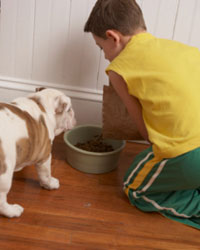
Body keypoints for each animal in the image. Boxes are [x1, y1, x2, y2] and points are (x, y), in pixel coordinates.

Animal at [0, 89, 76, 218]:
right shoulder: (45, 156)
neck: (41, 104)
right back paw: (12, 211)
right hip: (4, 175)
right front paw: (50, 184)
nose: (75, 116)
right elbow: (45, 174)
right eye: (69, 109)